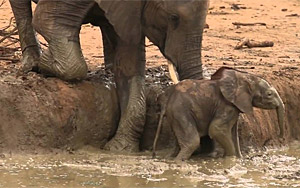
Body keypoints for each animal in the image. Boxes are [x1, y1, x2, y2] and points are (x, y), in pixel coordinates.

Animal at [9, 0, 211, 152]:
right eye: (173, 18)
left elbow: (130, 61)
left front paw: (119, 149)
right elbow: (45, 22)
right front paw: (44, 64)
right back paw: (32, 63)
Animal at [154, 67, 284, 161]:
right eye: (269, 94)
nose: (280, 137)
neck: (244, 77)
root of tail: (166, 99)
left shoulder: (234, 107)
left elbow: (233, 134)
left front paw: (238, 158)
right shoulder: (226, 106)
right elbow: (216, 129)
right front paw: (230, 159)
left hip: (176, 114)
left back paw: (170, 158)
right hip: (180, 111)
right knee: (192, 142)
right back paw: (177, 162)